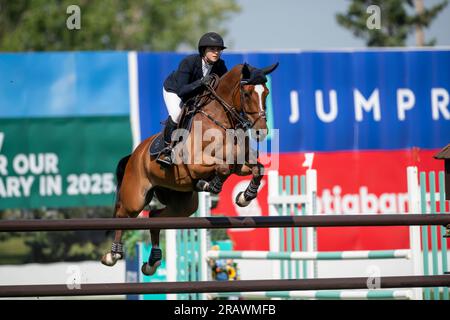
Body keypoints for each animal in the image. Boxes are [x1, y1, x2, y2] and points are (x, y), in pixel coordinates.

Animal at [101, 62, 278, 276]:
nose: (261, 131)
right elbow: (223, 168)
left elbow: (256, 169)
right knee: (122, 216)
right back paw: (113, 255)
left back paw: (152, 262)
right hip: (136, 198)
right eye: (246, 93)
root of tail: (135, 155)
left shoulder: (240, 163)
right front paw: (210, 185)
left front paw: (244, 197)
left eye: (266, 92)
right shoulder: (195, 165)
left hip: (183, 204)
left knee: (155, 217)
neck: (222, 121)